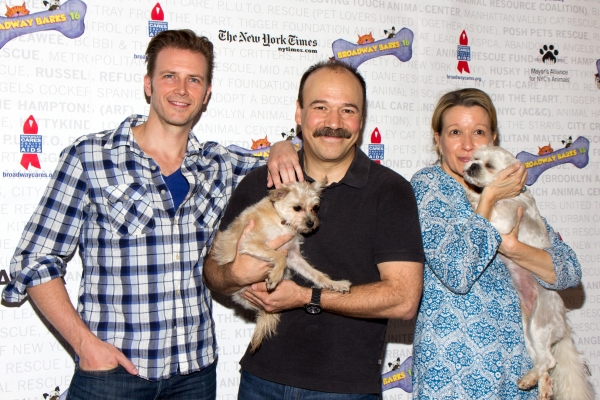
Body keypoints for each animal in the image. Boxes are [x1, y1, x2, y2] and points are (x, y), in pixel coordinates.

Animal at [211, 180, 352, 350]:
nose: (311, 223)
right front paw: (275, 277)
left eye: (314, 207)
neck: (281, 219)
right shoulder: (250, 243)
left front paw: (334, 284)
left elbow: (315, 274)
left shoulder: (293, 256)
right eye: (297, 208)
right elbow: (278, 257)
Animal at [462, 145, 592, 400]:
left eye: (488, 165)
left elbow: (486, 207)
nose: (471, 166)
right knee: (543, 362)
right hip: (528, 331)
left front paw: (474, 197)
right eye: (474, 158)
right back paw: (539, 384)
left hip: (540, 326)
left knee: (549, 360)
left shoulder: (504, 222)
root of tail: (564, 322)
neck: (510, 196)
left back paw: (532, 381)